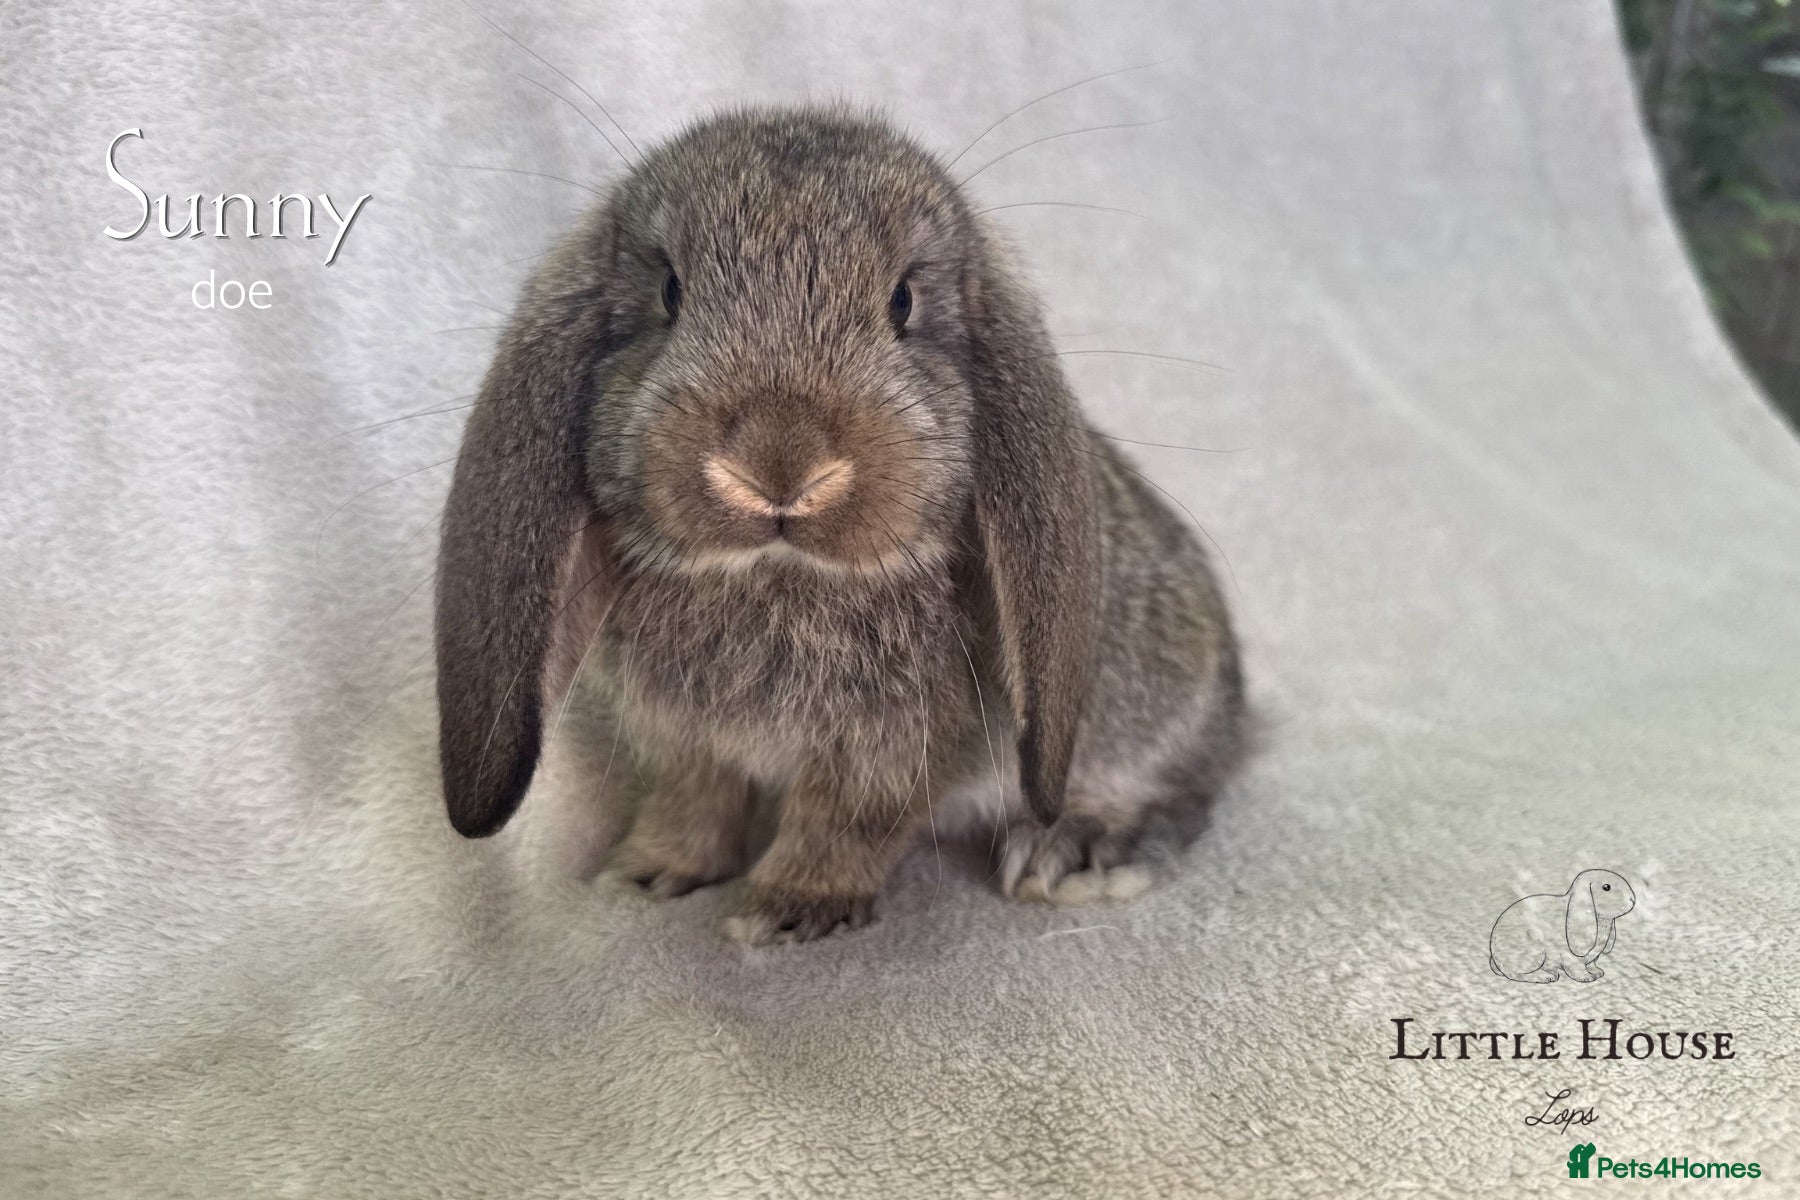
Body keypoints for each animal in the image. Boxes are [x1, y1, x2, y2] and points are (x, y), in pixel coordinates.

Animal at [434, 106, 1244, 943]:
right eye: (670, 292)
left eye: (902, 303)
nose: (778, 464)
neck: (778, 576)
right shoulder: (688, 742)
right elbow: (694, 801)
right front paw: (647, 874)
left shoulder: (897, 751)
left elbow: (845, 823)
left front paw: (787, 910)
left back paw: (1072, 853)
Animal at [1489, 869, 1636, 983]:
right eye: (1606, 887)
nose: (1632, 899)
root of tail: (1495, 957)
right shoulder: (1570, 956)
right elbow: (1576, 967)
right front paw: (1587, 977)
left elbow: (1591, 963)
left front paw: (1598, 972)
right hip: (1534, 952)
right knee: (1514, 973)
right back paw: (1544, 976)